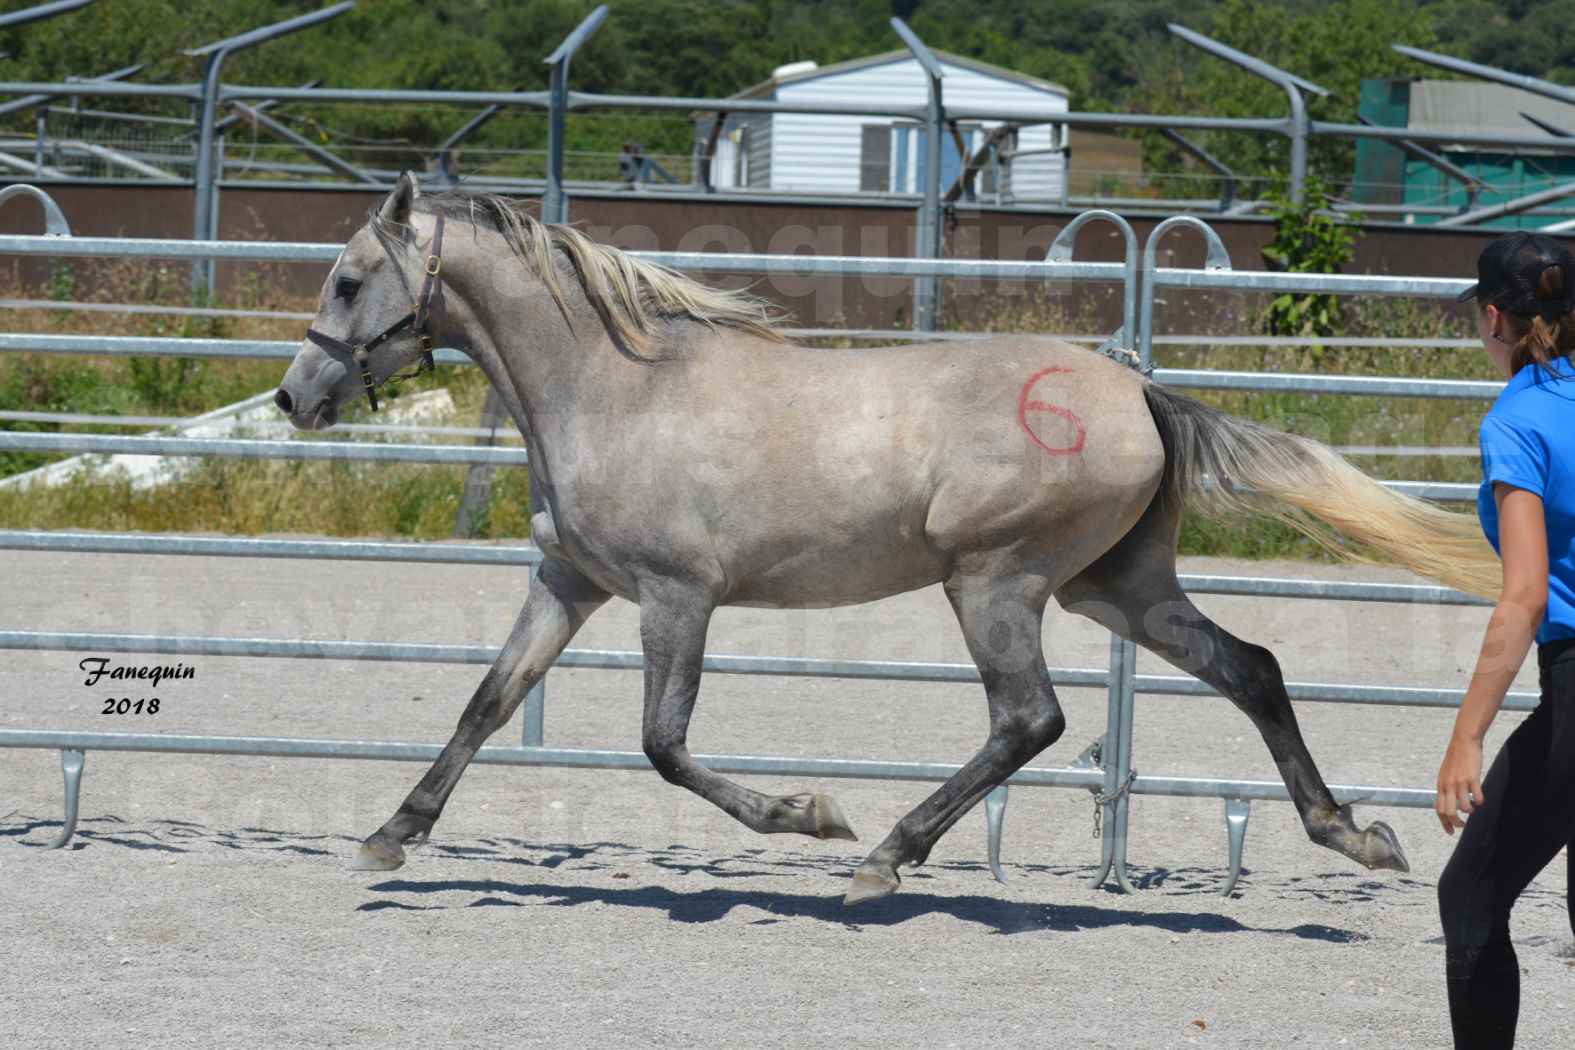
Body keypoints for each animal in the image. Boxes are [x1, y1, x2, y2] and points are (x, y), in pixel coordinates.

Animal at [274, 174, 1499, 906]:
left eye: (346, 278)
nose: (294, 397)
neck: (616, 388)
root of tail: (1141, 389)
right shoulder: (569, 581)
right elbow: (486, 703)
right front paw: (389, 834)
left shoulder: (678, 596)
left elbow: (664, 745)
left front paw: (809, 816)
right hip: (1115, 586)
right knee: (1251, 669)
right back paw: (1355, 835)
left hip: (995, 582)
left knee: (1032, 718)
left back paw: (880, 859)